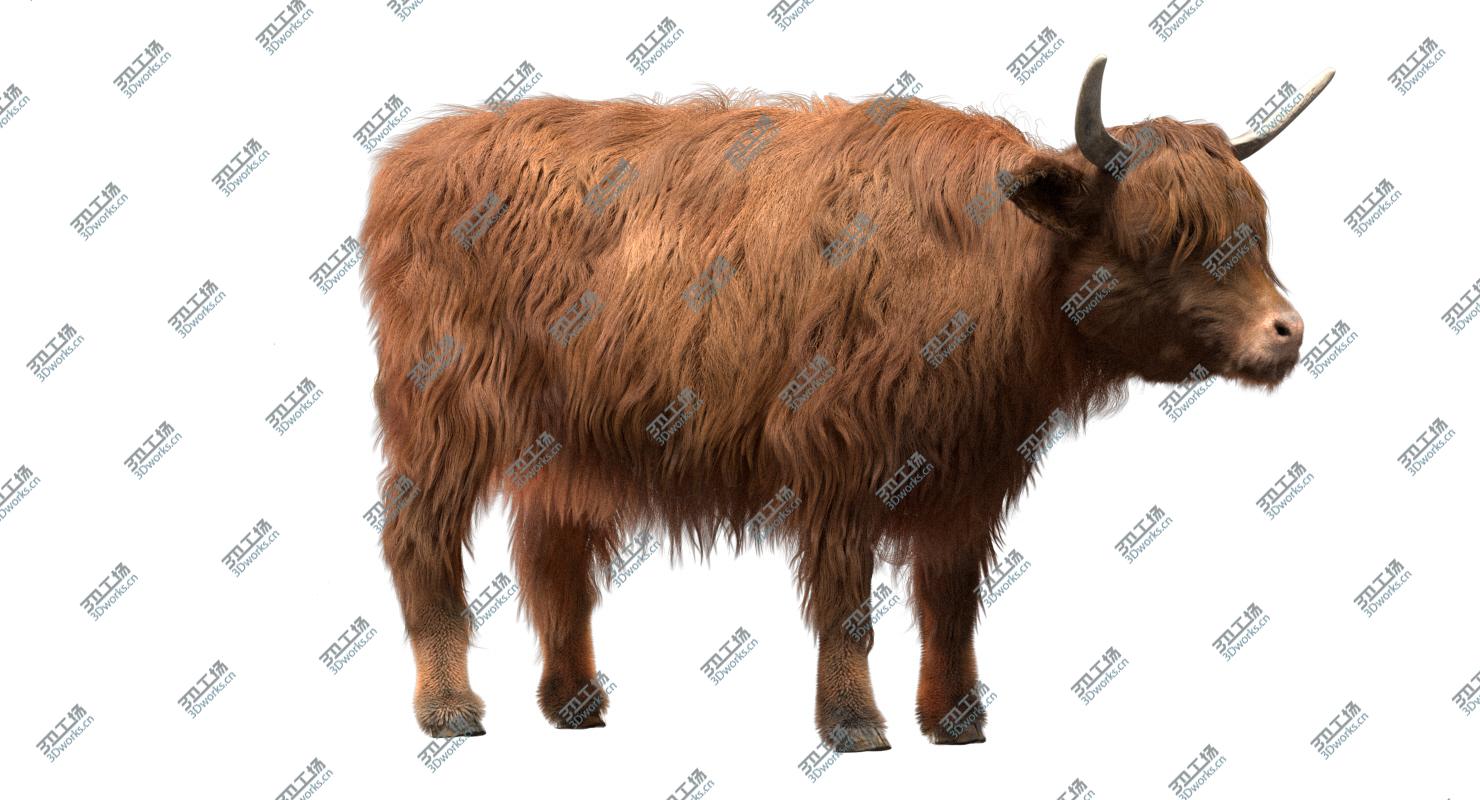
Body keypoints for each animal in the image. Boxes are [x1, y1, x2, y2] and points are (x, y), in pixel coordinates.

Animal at [359, 56, 1333, 749]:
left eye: (1256, 231)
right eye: (1162, 236)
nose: (1287, 331)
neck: (989, 266)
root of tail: (415, 156)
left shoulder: (967, 475)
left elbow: (950, 600)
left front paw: (957, 722)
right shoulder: (835, 460)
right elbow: (848, 604)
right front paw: (856, 725)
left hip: (563, 444)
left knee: (550, 557)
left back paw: (575, 703)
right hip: (444, 415)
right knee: (420, 540)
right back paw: (450, 709)